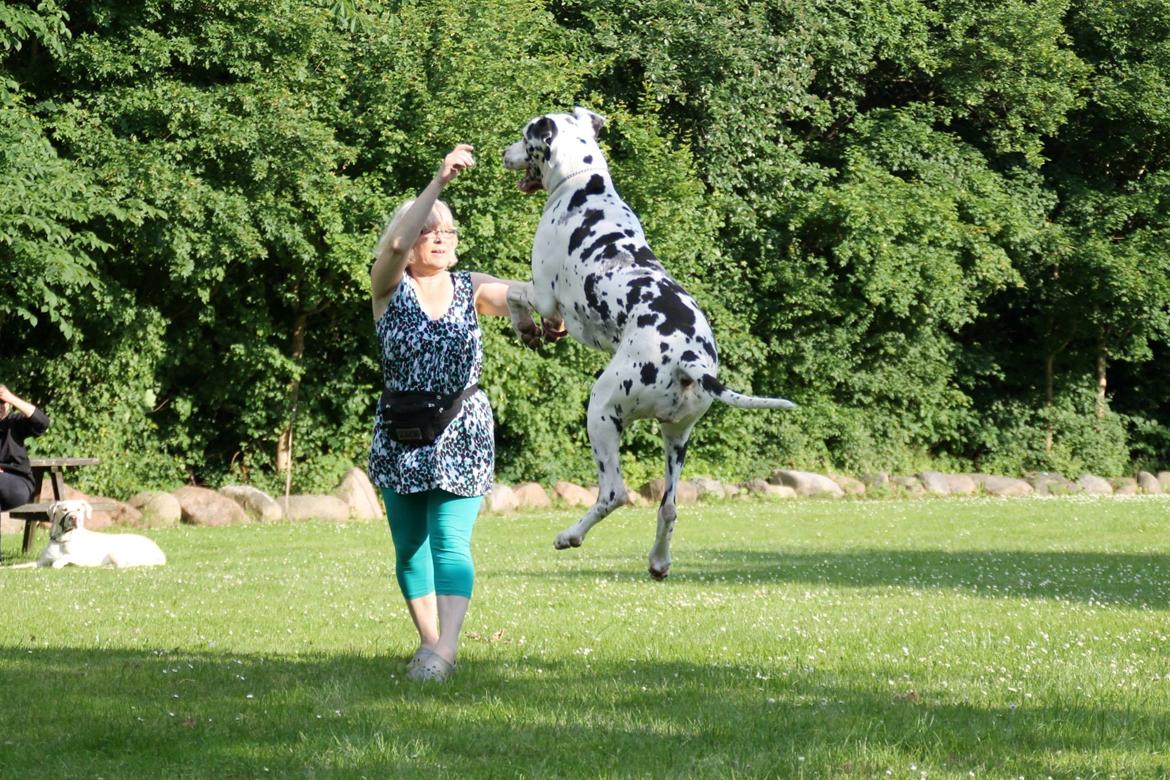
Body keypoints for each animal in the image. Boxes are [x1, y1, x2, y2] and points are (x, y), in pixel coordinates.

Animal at [6, 498, 166, 570]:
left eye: (78, 509)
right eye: (64, 509)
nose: (73, 518)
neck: (62, 541)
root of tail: (160, 553)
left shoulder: (78, 558)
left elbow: (62, 560)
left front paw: (59, 563)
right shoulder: (40, 561)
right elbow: (21, 565)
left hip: (115, 551)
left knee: (122, 566)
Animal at [503, 105, 795, 580]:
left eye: (524, 135)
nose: (503, 152)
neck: (582, 186)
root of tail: (692, 360)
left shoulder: (543, 293)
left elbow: (512, 292)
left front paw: (524, 325)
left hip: (602, 410)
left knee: (614, 493)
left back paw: (571, 535)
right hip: (677, 438)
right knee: (668, 507)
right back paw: (658, 561)